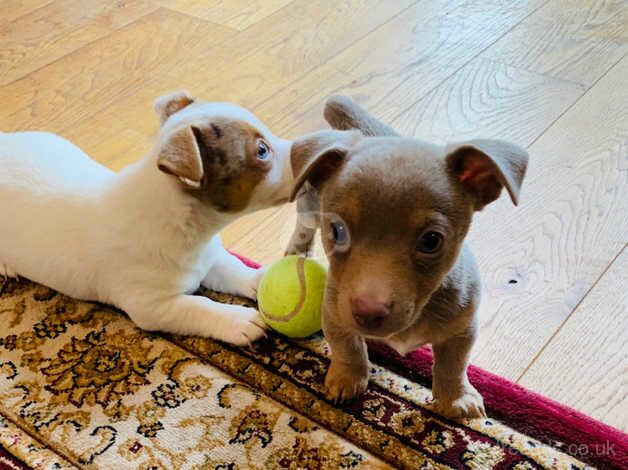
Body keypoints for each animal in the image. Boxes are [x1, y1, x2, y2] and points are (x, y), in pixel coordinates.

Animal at [0, 91, 294, 346]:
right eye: (262, 150)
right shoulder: (154, 306)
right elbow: (199, 305)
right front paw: (238, 320)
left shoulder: (209, 258)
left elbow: (233, 268)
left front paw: (259, 281)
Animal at [288, 95, 528, 418]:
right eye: (337, 231)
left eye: (431, 241)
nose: (368, 312)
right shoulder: (333, 311)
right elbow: (347, 347)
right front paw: (347, 377)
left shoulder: (463, 328)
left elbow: (454, 364)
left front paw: (455, 397)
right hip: (310, 204)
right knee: (303, 223)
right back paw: (296, 250)